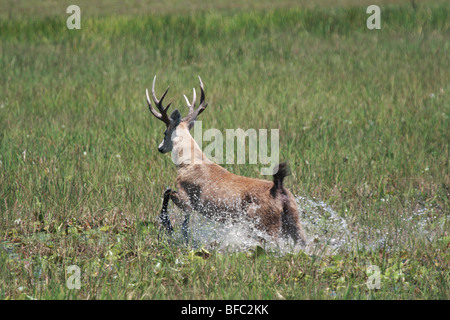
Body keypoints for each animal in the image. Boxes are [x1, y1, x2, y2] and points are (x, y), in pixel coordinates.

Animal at [146, 75, 308, 245]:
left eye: (165, 132)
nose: (160, 148)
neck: (189, 162)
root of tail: (278, 188)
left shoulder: (187, 197)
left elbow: (168, 192)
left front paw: (169, 226)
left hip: (266, 222)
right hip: (294, 220)